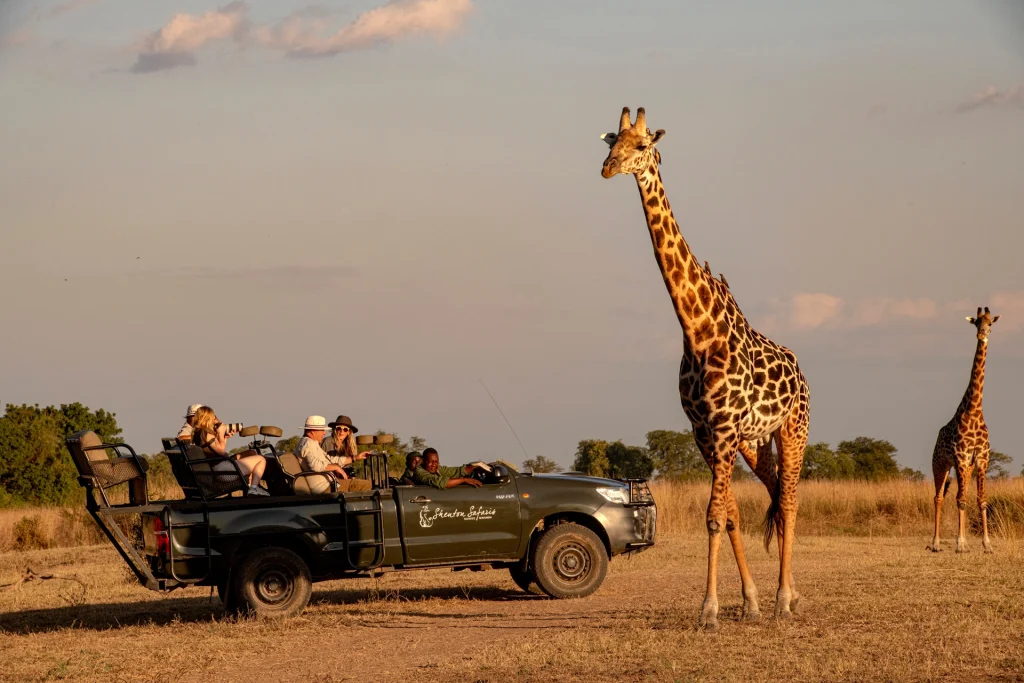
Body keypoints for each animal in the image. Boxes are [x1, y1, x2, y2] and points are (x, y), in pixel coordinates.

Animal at [600, 107, 810, 632]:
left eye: (641, 146)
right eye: (612, 143)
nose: (607, 169)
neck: (697, 330)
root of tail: (801, 372)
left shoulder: (724, 427)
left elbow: (715, 516)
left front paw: (709, 611)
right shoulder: (705, 431)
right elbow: (729, 514)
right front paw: (746, 602)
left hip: (794, 429)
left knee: (791, 500)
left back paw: (783, 602)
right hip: (755, 442)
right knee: (775, 495)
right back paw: (788, 596)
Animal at [929, 306, 1000, 554]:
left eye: (990, 323)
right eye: (976, 323)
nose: (982, 334)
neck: (975, 410)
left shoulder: (981, 458)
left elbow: (981, 499)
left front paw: (987, 544)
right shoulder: (960, 456)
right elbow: (959, 500)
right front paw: (961, 544)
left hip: (966, 468)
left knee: (960, 495)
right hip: (940, 463)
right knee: (939, 497)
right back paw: (935, 543)